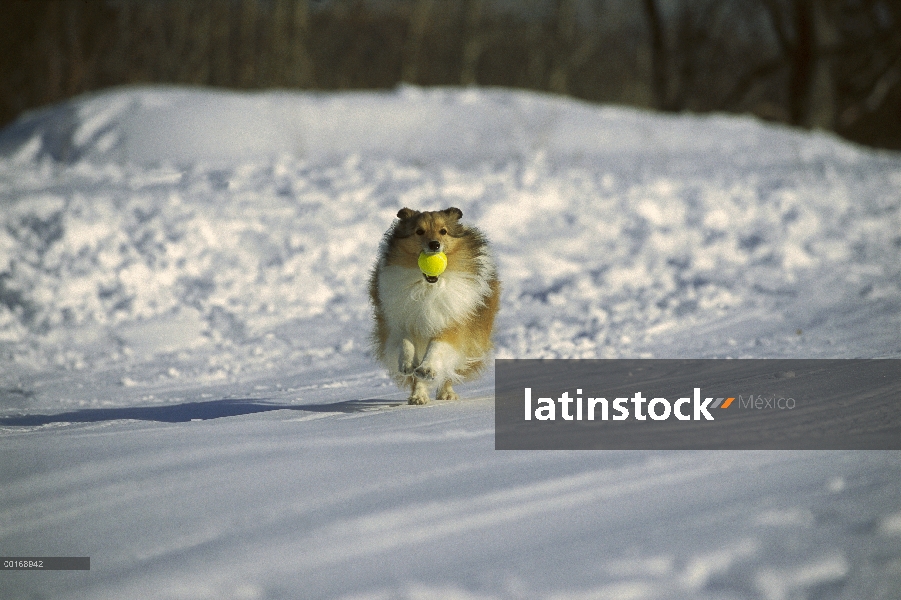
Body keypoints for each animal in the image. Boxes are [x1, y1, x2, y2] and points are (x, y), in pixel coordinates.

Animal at [370, 204, 502, 406]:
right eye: (419, 231)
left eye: (443, 231)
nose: (434, 245)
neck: (428, 286)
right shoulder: (401, 319)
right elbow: (405, 343)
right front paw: (407, 364)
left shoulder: (452, 322)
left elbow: (437, 347)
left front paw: (427, 368)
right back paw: (418, 397)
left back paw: (446, 393)